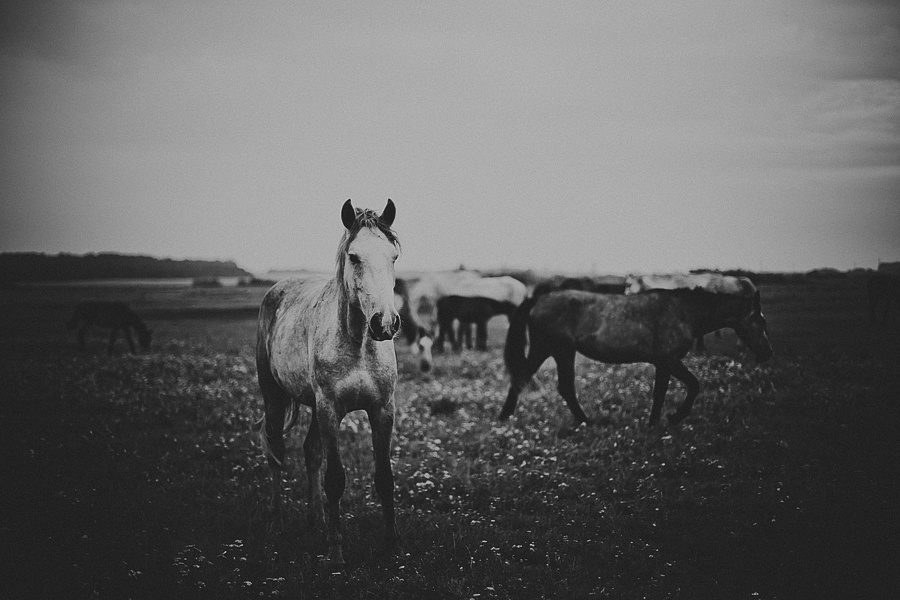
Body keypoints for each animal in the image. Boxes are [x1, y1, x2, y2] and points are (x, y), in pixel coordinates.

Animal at [256, 199, 401, 566]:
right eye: (354, 257)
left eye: (393, 256)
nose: (385, 323)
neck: (359, 344)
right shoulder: (330, 409)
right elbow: (335, 480)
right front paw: (336, 552)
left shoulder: (382, 410)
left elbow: (385, 478)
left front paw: (392, 547)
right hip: (274, 397)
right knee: (276, 453)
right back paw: (276, 521)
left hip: (312, 407)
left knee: (311, 452)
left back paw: (316, 520)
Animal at [501, 288, 773, 429]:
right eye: (761, 321)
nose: (768, 353)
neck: (684, 310)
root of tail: (539, 299)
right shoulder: (670, 360)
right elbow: (693, 385)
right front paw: (674, 417)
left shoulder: (663, 364)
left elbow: (660, 393)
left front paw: (654, 423)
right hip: (554, 350)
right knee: (536, 381)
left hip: (555, 352)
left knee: (546, 383)